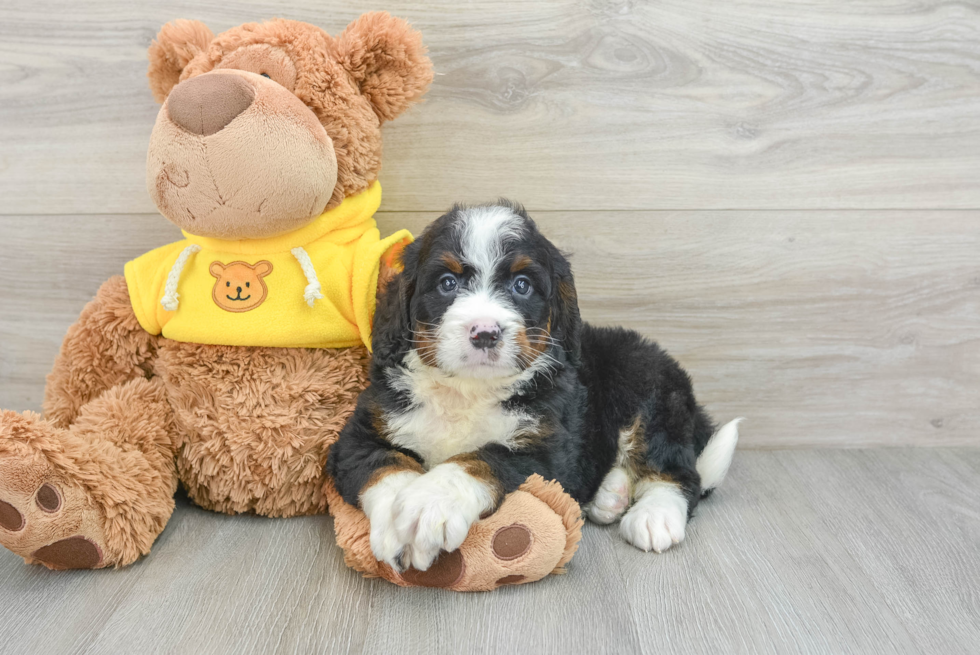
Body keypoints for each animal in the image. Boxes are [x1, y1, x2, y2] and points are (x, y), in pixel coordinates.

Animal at [326, 202, 740, 572]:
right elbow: (385, 465)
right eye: (447, 283)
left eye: (522, 285)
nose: (485, 332)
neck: (468, 390)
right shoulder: (361, 431)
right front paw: (398, 527)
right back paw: (610, 495)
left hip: (648, 387)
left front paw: (428, 505)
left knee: (678, 471)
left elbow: (480, 458)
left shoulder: (547, 451)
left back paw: (653, 515)